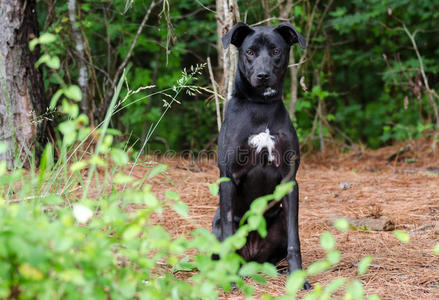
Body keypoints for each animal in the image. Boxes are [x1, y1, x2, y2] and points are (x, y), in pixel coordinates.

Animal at [211, 22, 312, 290]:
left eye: (276, 51)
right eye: (250, 52)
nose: (263, 75)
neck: (260, 107)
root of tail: (252, 258)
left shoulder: (289, 180)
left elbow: (295, 241)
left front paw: (298, 278)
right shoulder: (228, 178)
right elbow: (229, 232)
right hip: (215, 225)